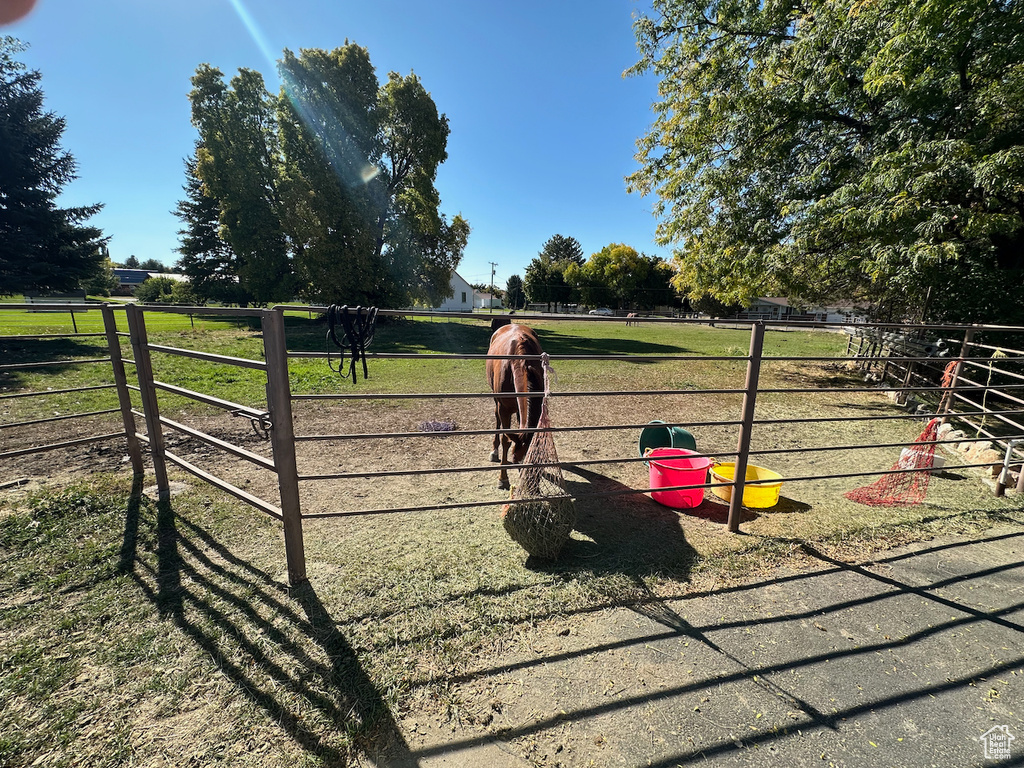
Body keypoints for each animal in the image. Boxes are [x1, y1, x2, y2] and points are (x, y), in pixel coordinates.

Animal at [485, 323, 544, 489]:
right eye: (518, 460)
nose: (530, 486)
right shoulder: (504, 409)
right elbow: (506, 440)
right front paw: (503, 478)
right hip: (496, 400)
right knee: (497, 419)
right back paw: (494, 451)